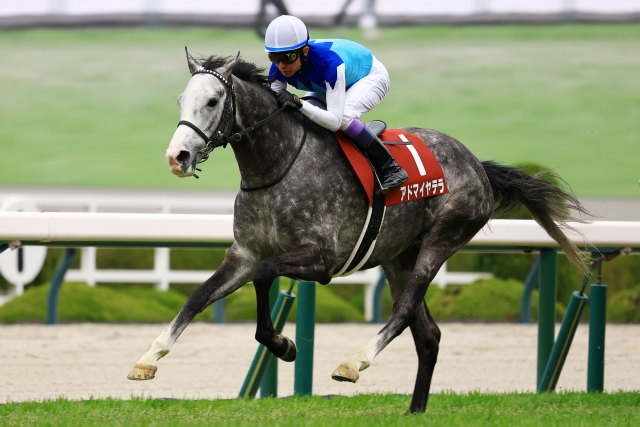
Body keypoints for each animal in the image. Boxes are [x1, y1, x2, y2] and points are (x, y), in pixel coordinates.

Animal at [127, 50, 589, 413]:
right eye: (181, 99)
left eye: (212, 100)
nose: (177, 156)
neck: (276, 168)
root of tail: (476, 162)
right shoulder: (243, 254)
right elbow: (197, 296)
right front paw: (148, 358)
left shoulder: (322, 261)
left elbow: (265, 276)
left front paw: (284, 345)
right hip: (399, 256)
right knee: (428, 333)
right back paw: (415, 411)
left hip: (442, 239)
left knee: (404, 312)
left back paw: (353, 363)